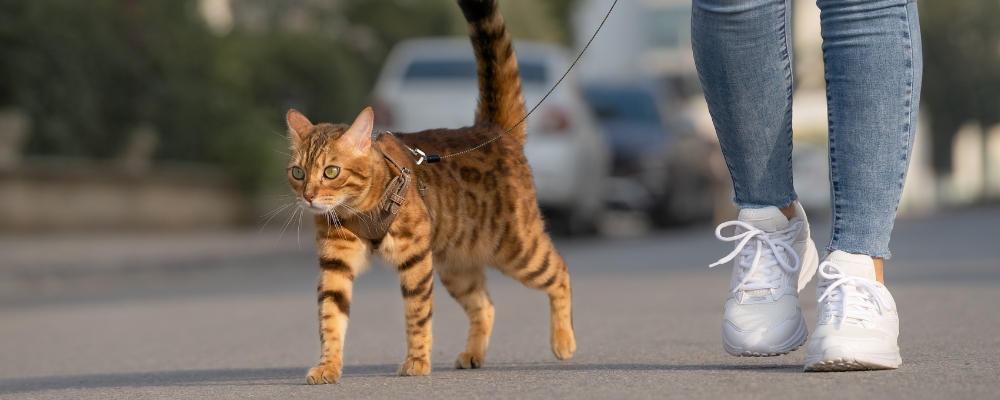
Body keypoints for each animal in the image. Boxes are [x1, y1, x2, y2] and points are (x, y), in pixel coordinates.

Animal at [286, 0, 576, 382]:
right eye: (298, 172)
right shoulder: (336, 263)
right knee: (486, 305)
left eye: (331, 171)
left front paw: (418, 361)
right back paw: (472, 354)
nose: (308, 195)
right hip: (456, 264)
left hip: (518, 248)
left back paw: (563, 340)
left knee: (560, 272)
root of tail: (492, 129)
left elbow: (417, 315)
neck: (359, 208)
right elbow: (330, 318)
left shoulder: (414, 260)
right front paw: (328, 365)